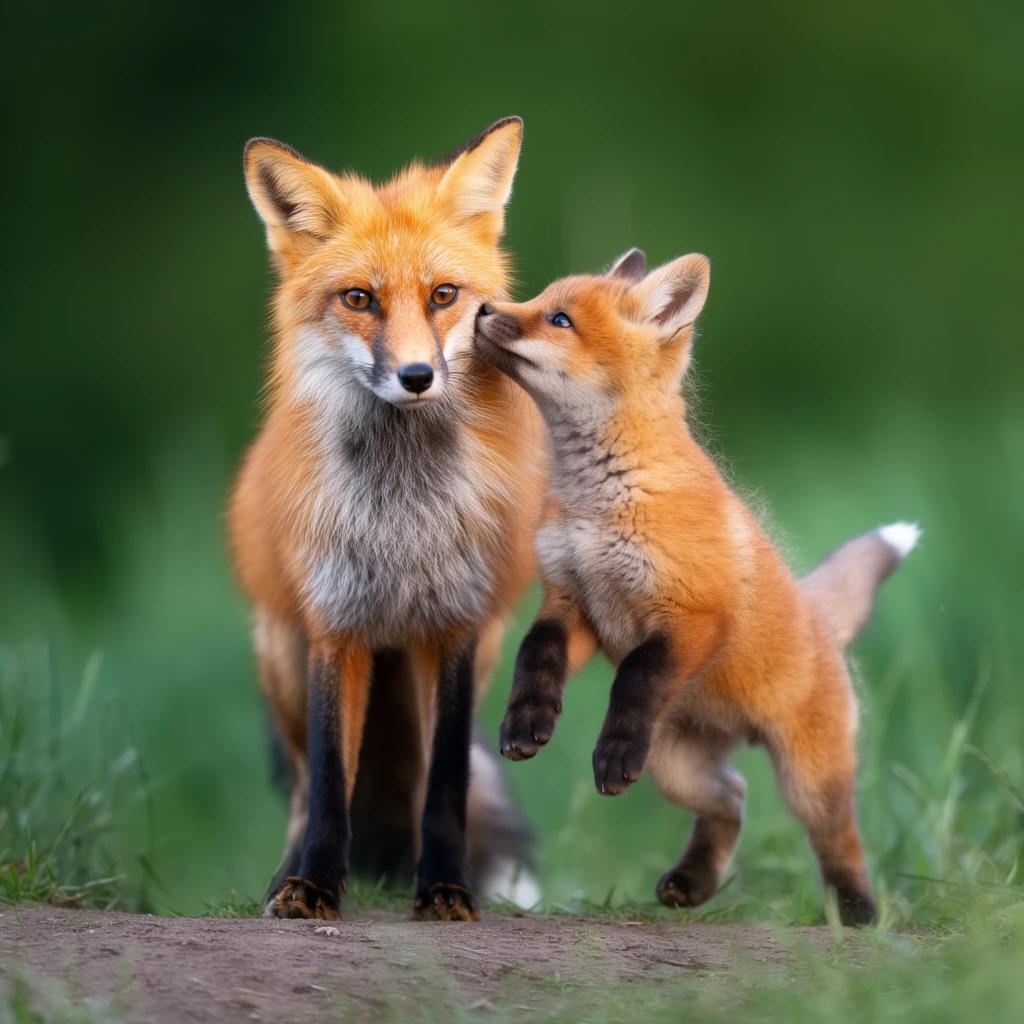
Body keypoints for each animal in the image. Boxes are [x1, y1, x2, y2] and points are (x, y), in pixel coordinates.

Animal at [228, 117, 546, 921]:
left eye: (443, 295)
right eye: (359, 298)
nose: (416, 377)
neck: (403, 518)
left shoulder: (457, 629)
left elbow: (445, 787)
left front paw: (445, 890)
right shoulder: (334, 625)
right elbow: (331, 784)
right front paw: (314, 887)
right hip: (281, 658)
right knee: (304, 787)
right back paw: (284, 877)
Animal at [474, 248, 919, 924]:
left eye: (559, 319)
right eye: (541, 301)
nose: (479, 309)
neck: (601, 501)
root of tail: (818, 615)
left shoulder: (690, 614)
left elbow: (636, 677)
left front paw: (610, 748)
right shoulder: (573, 601)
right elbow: (535, 655)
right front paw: (527, 722)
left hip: (807, 779)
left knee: (837, 837)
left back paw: (858, 912)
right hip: (673, 768)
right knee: (732, 797)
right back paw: (693, 881)